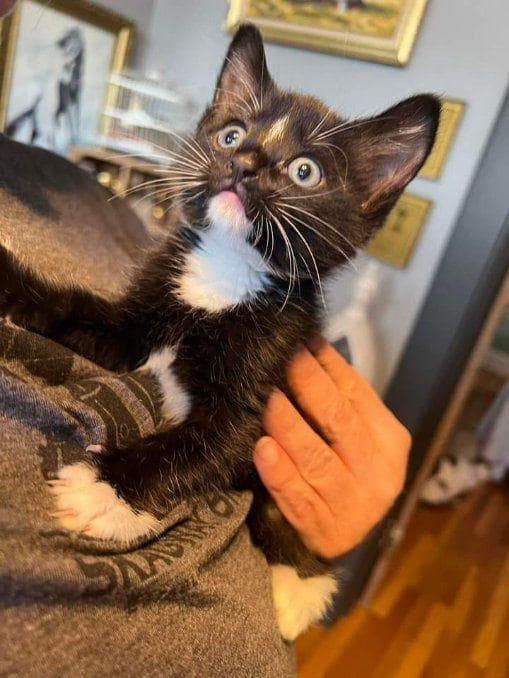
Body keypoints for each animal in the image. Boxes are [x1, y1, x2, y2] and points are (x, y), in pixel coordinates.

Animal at [0, 24, 439, 640]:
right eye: (231, 135)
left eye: (305, 171)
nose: (245, 163)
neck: (223, 276)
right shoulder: (134, 324)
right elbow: (75, 313)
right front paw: (9, 284)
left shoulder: (269, 371)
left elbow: (205, 442)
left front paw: (105, 490)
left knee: (278, 518)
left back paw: (298, 591)